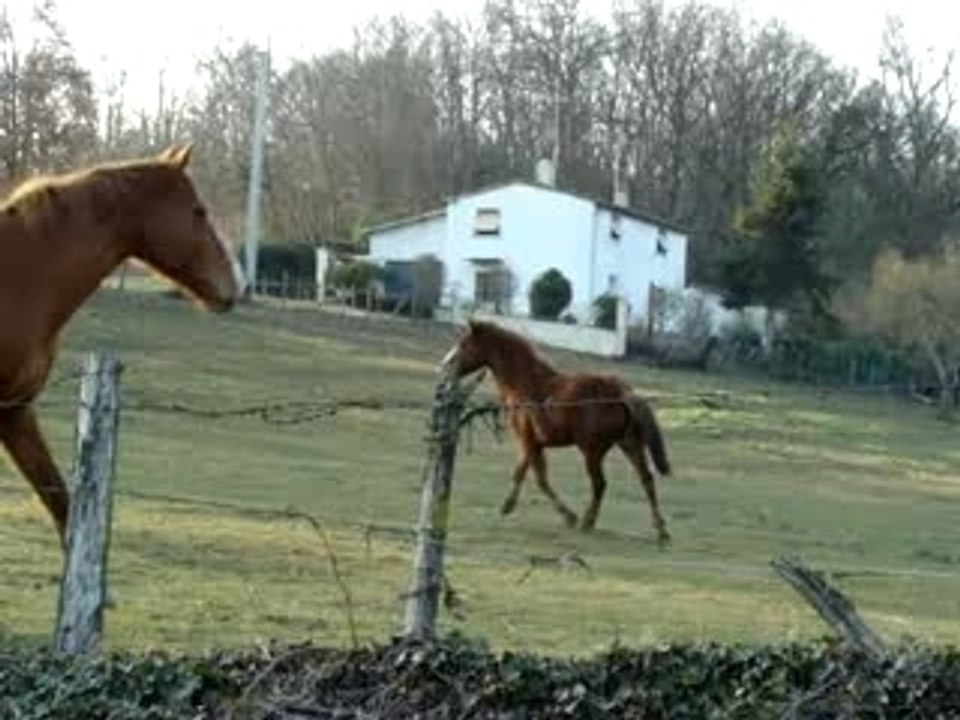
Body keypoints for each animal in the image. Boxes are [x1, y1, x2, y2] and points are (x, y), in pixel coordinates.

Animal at [440, 318, 673, 546]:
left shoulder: (527, 441)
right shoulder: (533, 443)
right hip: (629, 444)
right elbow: (522, 472)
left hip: (592, 451)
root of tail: (622, 391)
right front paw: (507, 506)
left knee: (600, 484)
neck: (526, 384)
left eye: (464, 343)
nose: (445, 366)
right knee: (646, 478)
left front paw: (568, 516)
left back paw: (588, 522)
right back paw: (661, 530)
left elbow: (539, 479)